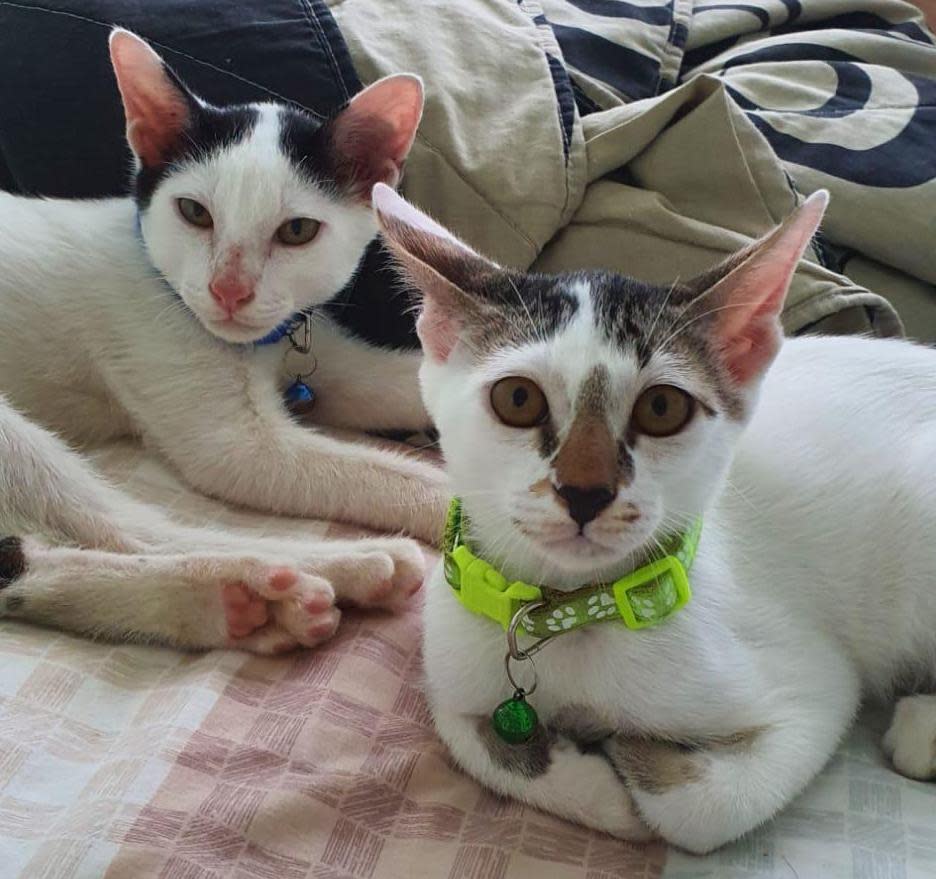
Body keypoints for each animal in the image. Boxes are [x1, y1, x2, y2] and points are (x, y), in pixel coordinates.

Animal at [0, 31, 436, 652]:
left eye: (297, 231)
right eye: (193, 212)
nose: (227, 290)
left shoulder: (317, 351)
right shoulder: (237, 445)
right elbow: (366, 472)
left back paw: (241, 605)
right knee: (125, 529)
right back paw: (315, 572)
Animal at [372, 186, 936, 852]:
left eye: (663, 407)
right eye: (518, 398)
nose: (585, 491)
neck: (568, 616)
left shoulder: (812, 684)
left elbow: (703, 810)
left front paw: (626, 756)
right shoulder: (452, 650)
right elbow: (460, 728)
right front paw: (585, 780)